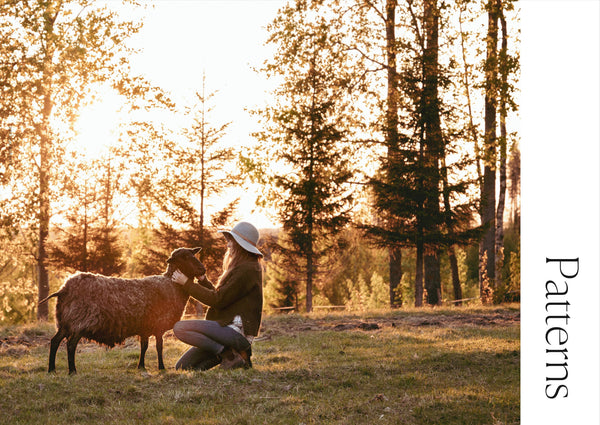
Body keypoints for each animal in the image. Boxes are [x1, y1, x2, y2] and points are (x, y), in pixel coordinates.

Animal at [40, 247, 206, 372]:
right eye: (184, 257)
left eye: (193, 254)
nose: (202, 269)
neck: (171, 285)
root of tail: (63, 288)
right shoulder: (159, 325)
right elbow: (159, 347)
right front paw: (161, 367)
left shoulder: (145, 327)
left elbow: (144, 347)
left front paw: (141, 366)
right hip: (79, 322)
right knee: (70, 345)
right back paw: (72, 371)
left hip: (65, 322)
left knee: (55, 341)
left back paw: (51, 369)